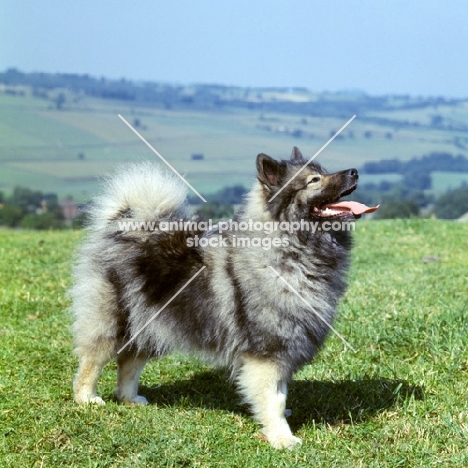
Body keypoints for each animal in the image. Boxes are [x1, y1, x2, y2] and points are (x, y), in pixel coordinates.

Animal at [70, 148, 370, 448]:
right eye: (314, 180)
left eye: (324, 171)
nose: (355, 171)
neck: (290, 249)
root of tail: (129, 226)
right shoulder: (268, 350)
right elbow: (273, 398)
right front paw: (282, 437)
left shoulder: (282, 349)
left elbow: (280, 393)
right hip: (114, 322)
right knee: (92, 360)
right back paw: (87, 398)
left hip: (152, 325)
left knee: (129, 363)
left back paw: (130, 398)